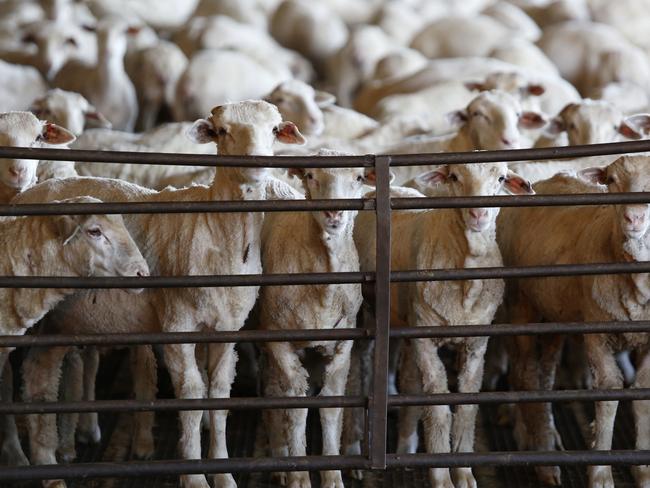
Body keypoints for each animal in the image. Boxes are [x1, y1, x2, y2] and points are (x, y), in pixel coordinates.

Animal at [12, 98, 306, 488]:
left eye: (273, 130)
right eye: (222, 131)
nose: (255, 165)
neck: (217, 232)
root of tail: (26, 194)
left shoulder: (228, 328)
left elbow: (219, 393)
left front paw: (223, 474)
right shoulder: (176, 324)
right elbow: (192, 394)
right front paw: (195, 477)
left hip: (59, 321)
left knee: (39, 377)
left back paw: (48, 464)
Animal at [354, 163, 532, 488]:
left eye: (501, 178)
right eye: (454, 177)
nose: (478, 214)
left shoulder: (476, 345)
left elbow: (465, 408)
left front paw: (463, 473)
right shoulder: (425, 341)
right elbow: (437, 410)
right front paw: (440, 476)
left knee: (409, 379)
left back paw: (406, 443)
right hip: (369, 316)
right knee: (362, 369)